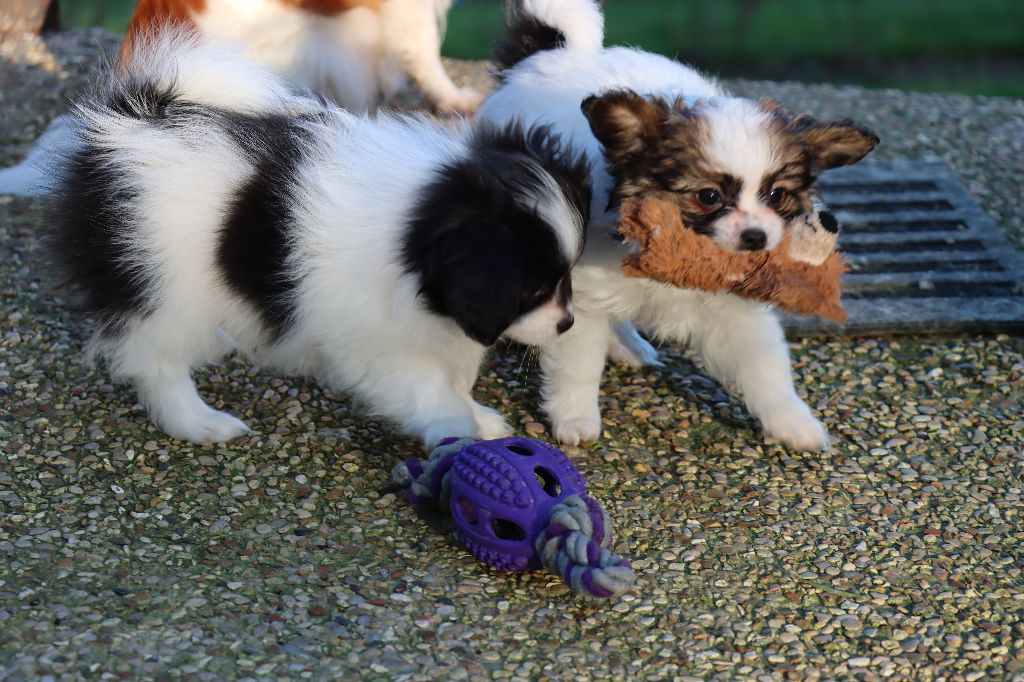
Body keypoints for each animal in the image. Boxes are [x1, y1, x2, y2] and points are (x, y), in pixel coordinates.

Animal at [49, 33, 593, 446]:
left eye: (567, 278)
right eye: (531, 290)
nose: (567, 323)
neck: (415, 226)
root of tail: (129, 120)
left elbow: (451, 381)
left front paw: (478, 419)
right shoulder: (374, 348)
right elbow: (429, 390)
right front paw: (460, 432)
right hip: (166, 288)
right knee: (155, 360)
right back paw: (199, 423)